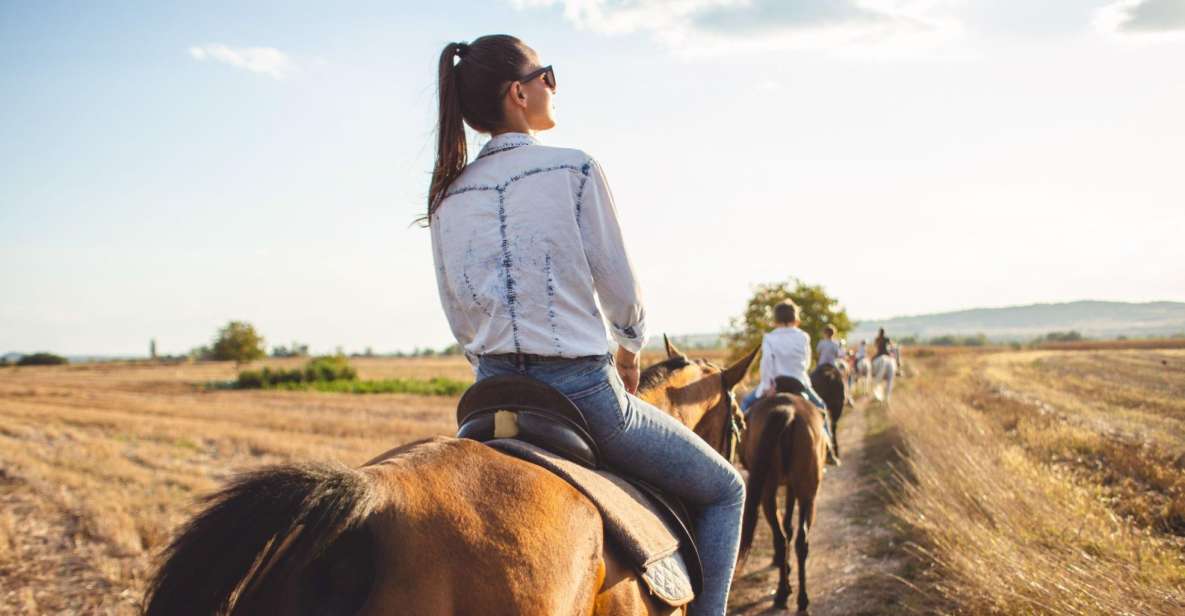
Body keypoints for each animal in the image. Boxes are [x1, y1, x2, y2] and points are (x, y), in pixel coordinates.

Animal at [734, 376, 829, 611]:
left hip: (771, 490)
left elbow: (786, 526)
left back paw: (783, 593)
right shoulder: (793, 487)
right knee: (799, 541)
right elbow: (789, 525)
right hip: (807, 493)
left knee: (782, 537)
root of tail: (789, 412)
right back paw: (800, 598)